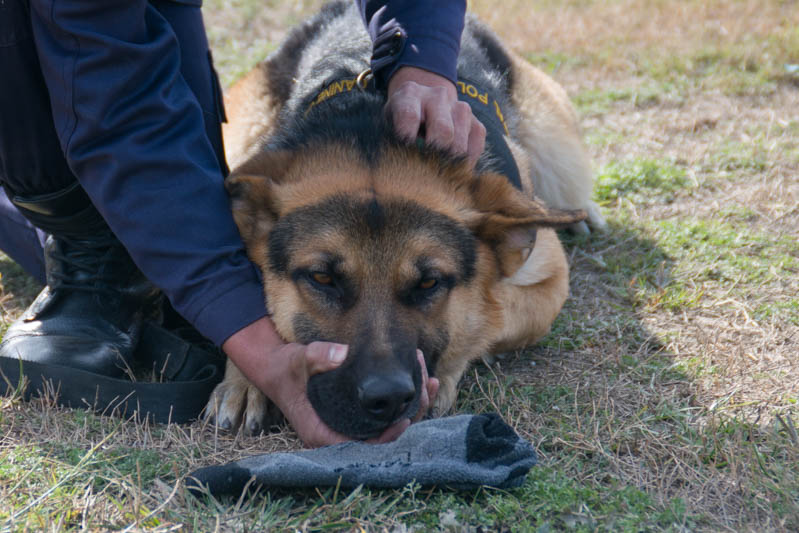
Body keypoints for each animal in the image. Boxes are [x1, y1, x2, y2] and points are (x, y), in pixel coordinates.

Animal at [206, 2, 608, 438]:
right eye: (322, 278)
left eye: (430, 283)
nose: (386, 399)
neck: (372, 131)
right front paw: (247, 380)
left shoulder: (547, 282)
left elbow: (490, 313)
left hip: (558, 154)